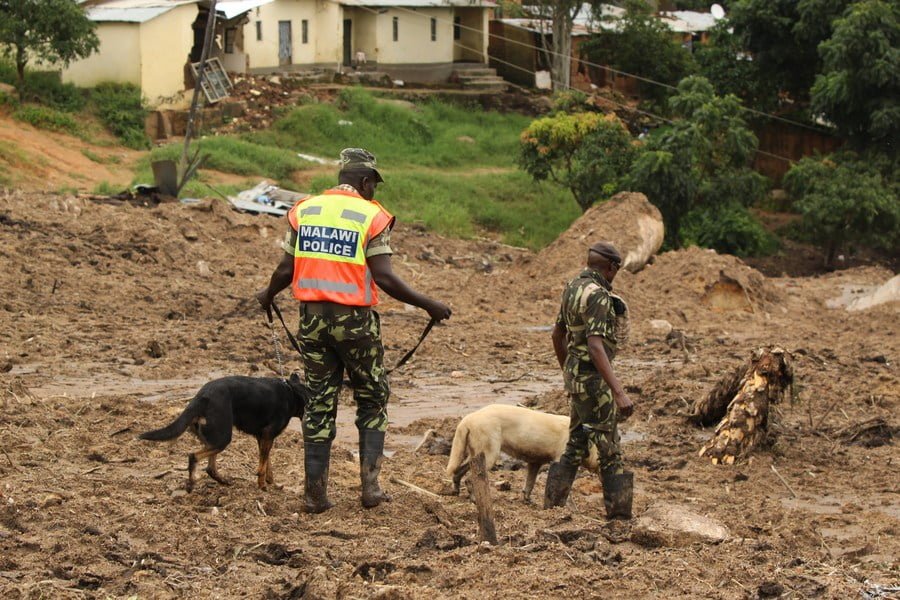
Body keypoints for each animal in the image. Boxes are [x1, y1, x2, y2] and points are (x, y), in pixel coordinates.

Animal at [139, 376, 310, 492]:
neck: (291, 392)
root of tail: (202, 396)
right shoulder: (268, 435)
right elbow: (262, 466)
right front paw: (262, 486)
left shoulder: (262, 437)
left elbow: (268, 463)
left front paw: (272, 482)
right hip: (223, 437)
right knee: (194, 456)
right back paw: (192, 483)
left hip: (215, 438)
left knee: (210, 467)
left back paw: (223, 481)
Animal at [444, 404, 596, 502]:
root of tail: (466, 421)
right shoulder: (561, 457)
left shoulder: (535, 461)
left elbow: (530, 481)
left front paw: (528, 500)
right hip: (489, 451)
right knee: (471, 478)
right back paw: (474, 499)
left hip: (475, 452)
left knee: (458, 470)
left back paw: (456, 491)